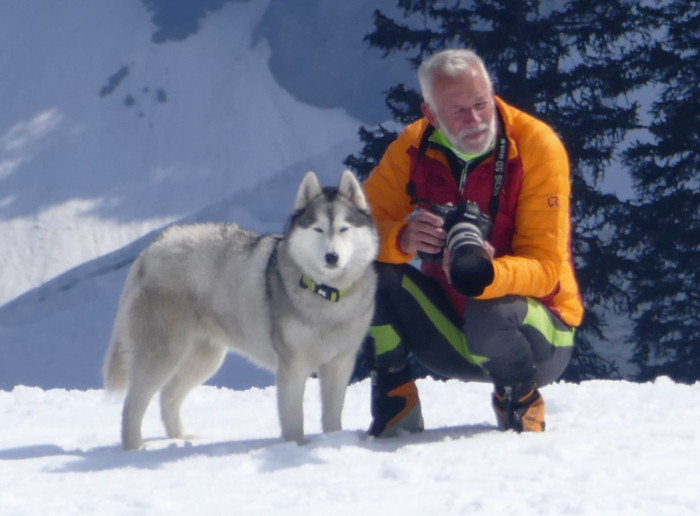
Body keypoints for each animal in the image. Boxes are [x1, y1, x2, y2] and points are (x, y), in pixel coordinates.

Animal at [103, 170, 378, 448]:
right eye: (318, 229)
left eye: (344, 228)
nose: (332, 257)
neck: (327, 295)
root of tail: (153, 247)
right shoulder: (293, 366)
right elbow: (293, 419)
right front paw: (296, 447)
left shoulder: (339, 363)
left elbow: (332, 415)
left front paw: (334, 441)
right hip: (162, 354)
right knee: (132, 405)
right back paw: (135, 447)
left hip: (205, 358)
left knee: (169, 394)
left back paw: (180, 437)